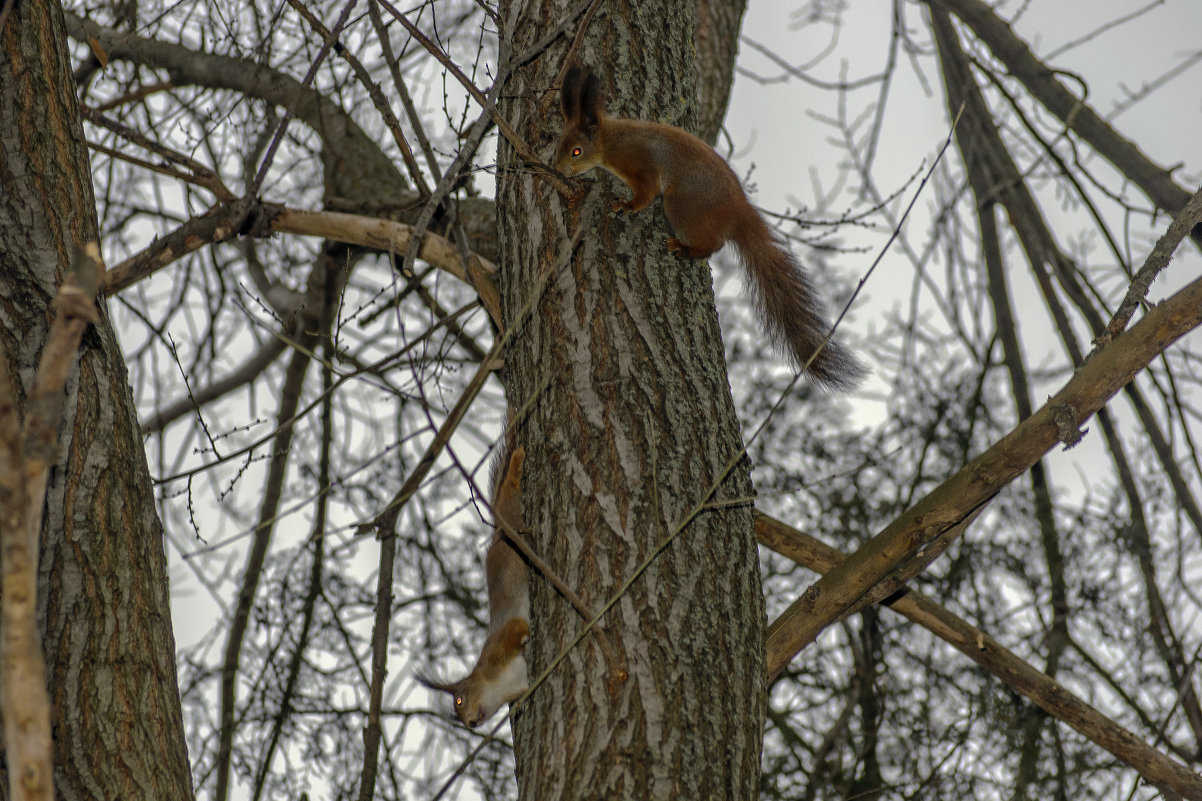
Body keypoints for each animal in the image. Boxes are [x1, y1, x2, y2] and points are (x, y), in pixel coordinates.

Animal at [420, 442, 528, 721]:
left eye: (459, 699)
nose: (471, 724)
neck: (498, 687)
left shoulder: (497, 649)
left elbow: (516, 628)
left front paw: (526, 634)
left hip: (512, 519)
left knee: (511, 491)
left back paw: (517, 462)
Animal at [552, 64, 865, 387]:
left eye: (576, 151)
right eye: (559, 145)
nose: (556, 169)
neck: (611, 141)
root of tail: (738, 210)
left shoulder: (640, 165)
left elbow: (645, 194)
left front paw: (624, 206)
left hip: (681, 205)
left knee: (713, 244)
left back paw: (684, 248)